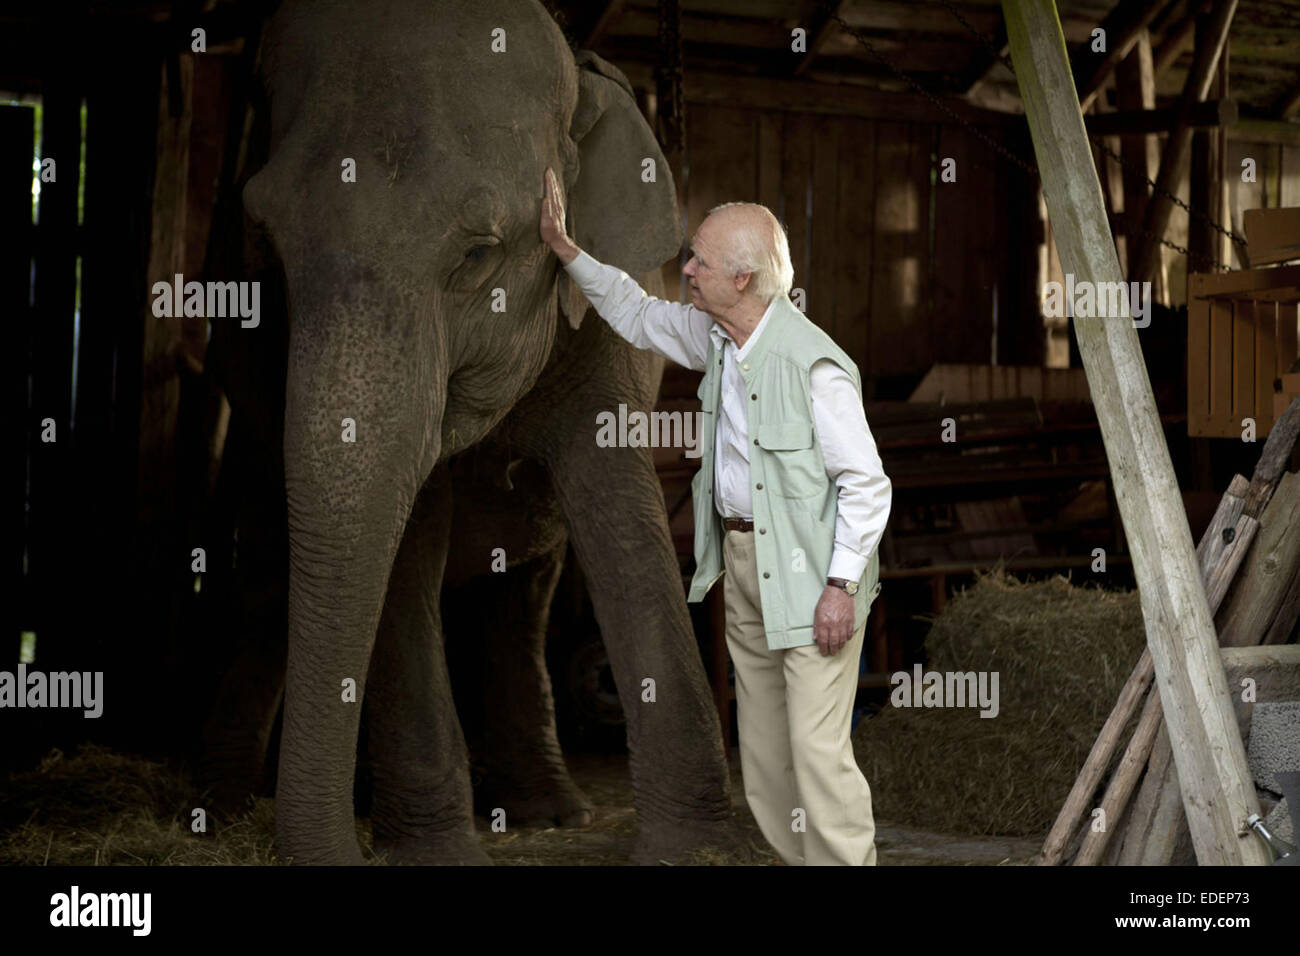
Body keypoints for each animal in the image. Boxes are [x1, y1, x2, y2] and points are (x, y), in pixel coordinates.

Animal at [200, 0, 733, 868]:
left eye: (481, 253)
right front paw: (436, 851)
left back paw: (553, 812)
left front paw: (694, 846)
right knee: (263, 580)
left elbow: (618, 506)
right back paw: (216, 810)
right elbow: (409, 530)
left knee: (525, 595)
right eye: (266, 246)